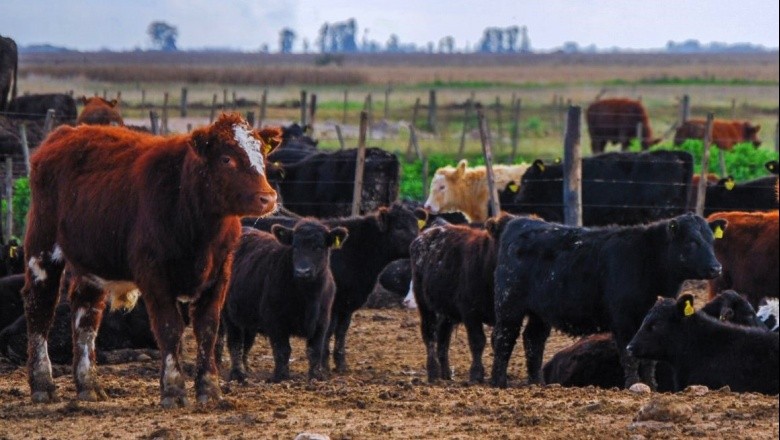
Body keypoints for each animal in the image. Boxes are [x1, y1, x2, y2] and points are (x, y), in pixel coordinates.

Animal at [22, 114, 278, 410]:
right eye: (227, 159)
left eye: (262, 154)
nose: (268, 197)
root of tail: (64, 133)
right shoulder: (154, 275)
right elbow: (169, 328)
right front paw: (173, 390)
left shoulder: (219, 274)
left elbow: (207, 329)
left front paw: (209, 390)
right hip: (42, 246)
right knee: (40, 308)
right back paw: (42, 384)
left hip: (92, 262)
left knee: (86, 314)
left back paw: (89, 385)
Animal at [219, 222, 344, 384]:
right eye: (295, 246)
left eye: (318, 247)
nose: (303, 271)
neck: (308, 297)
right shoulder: (275, 321)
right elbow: (282, 350)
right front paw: (281, 376)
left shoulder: (322, 322)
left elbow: (315, 350)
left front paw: (316, 376)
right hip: (229, 315)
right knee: (235, 344)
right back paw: (238, 374)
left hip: (248, 320)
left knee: (246, 344)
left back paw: (247, 370)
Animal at [244, 202, 426, 372]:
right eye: (399, 227)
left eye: (416, 225)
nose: (417, 243)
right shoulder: (331, 304)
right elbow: (328, 332)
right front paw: (323, 366)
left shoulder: (346, 305)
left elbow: (341, 332)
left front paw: (341, 366)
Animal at [494, 213, 724, 388]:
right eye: (691, 242)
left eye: (712, 241)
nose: (716, 267)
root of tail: (519, 221)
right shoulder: (622, 320)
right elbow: (629, 357)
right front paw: (633, 385)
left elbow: (649, 359)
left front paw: (651, 385)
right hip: (509, 306)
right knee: (504, 339)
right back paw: (499, 382)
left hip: (540, 313)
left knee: (533, 340)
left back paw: (537, 383)